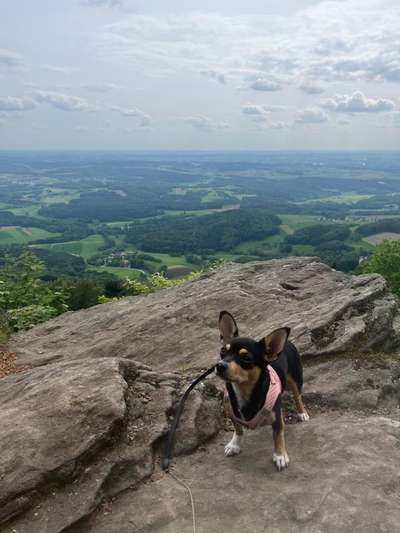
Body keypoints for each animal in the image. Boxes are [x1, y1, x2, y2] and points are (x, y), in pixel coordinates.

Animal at [216, 310, 310, 468]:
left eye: (246, 358)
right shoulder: (231, 413)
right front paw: (235, 444)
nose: (219, 365)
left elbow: (278, 435)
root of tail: (287, 342)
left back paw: (302, 413)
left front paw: (280, 455)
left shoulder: (277, 418)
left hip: (295, 380)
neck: (244, 390)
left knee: (298, 396)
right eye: (223, 351)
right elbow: (238, 428)